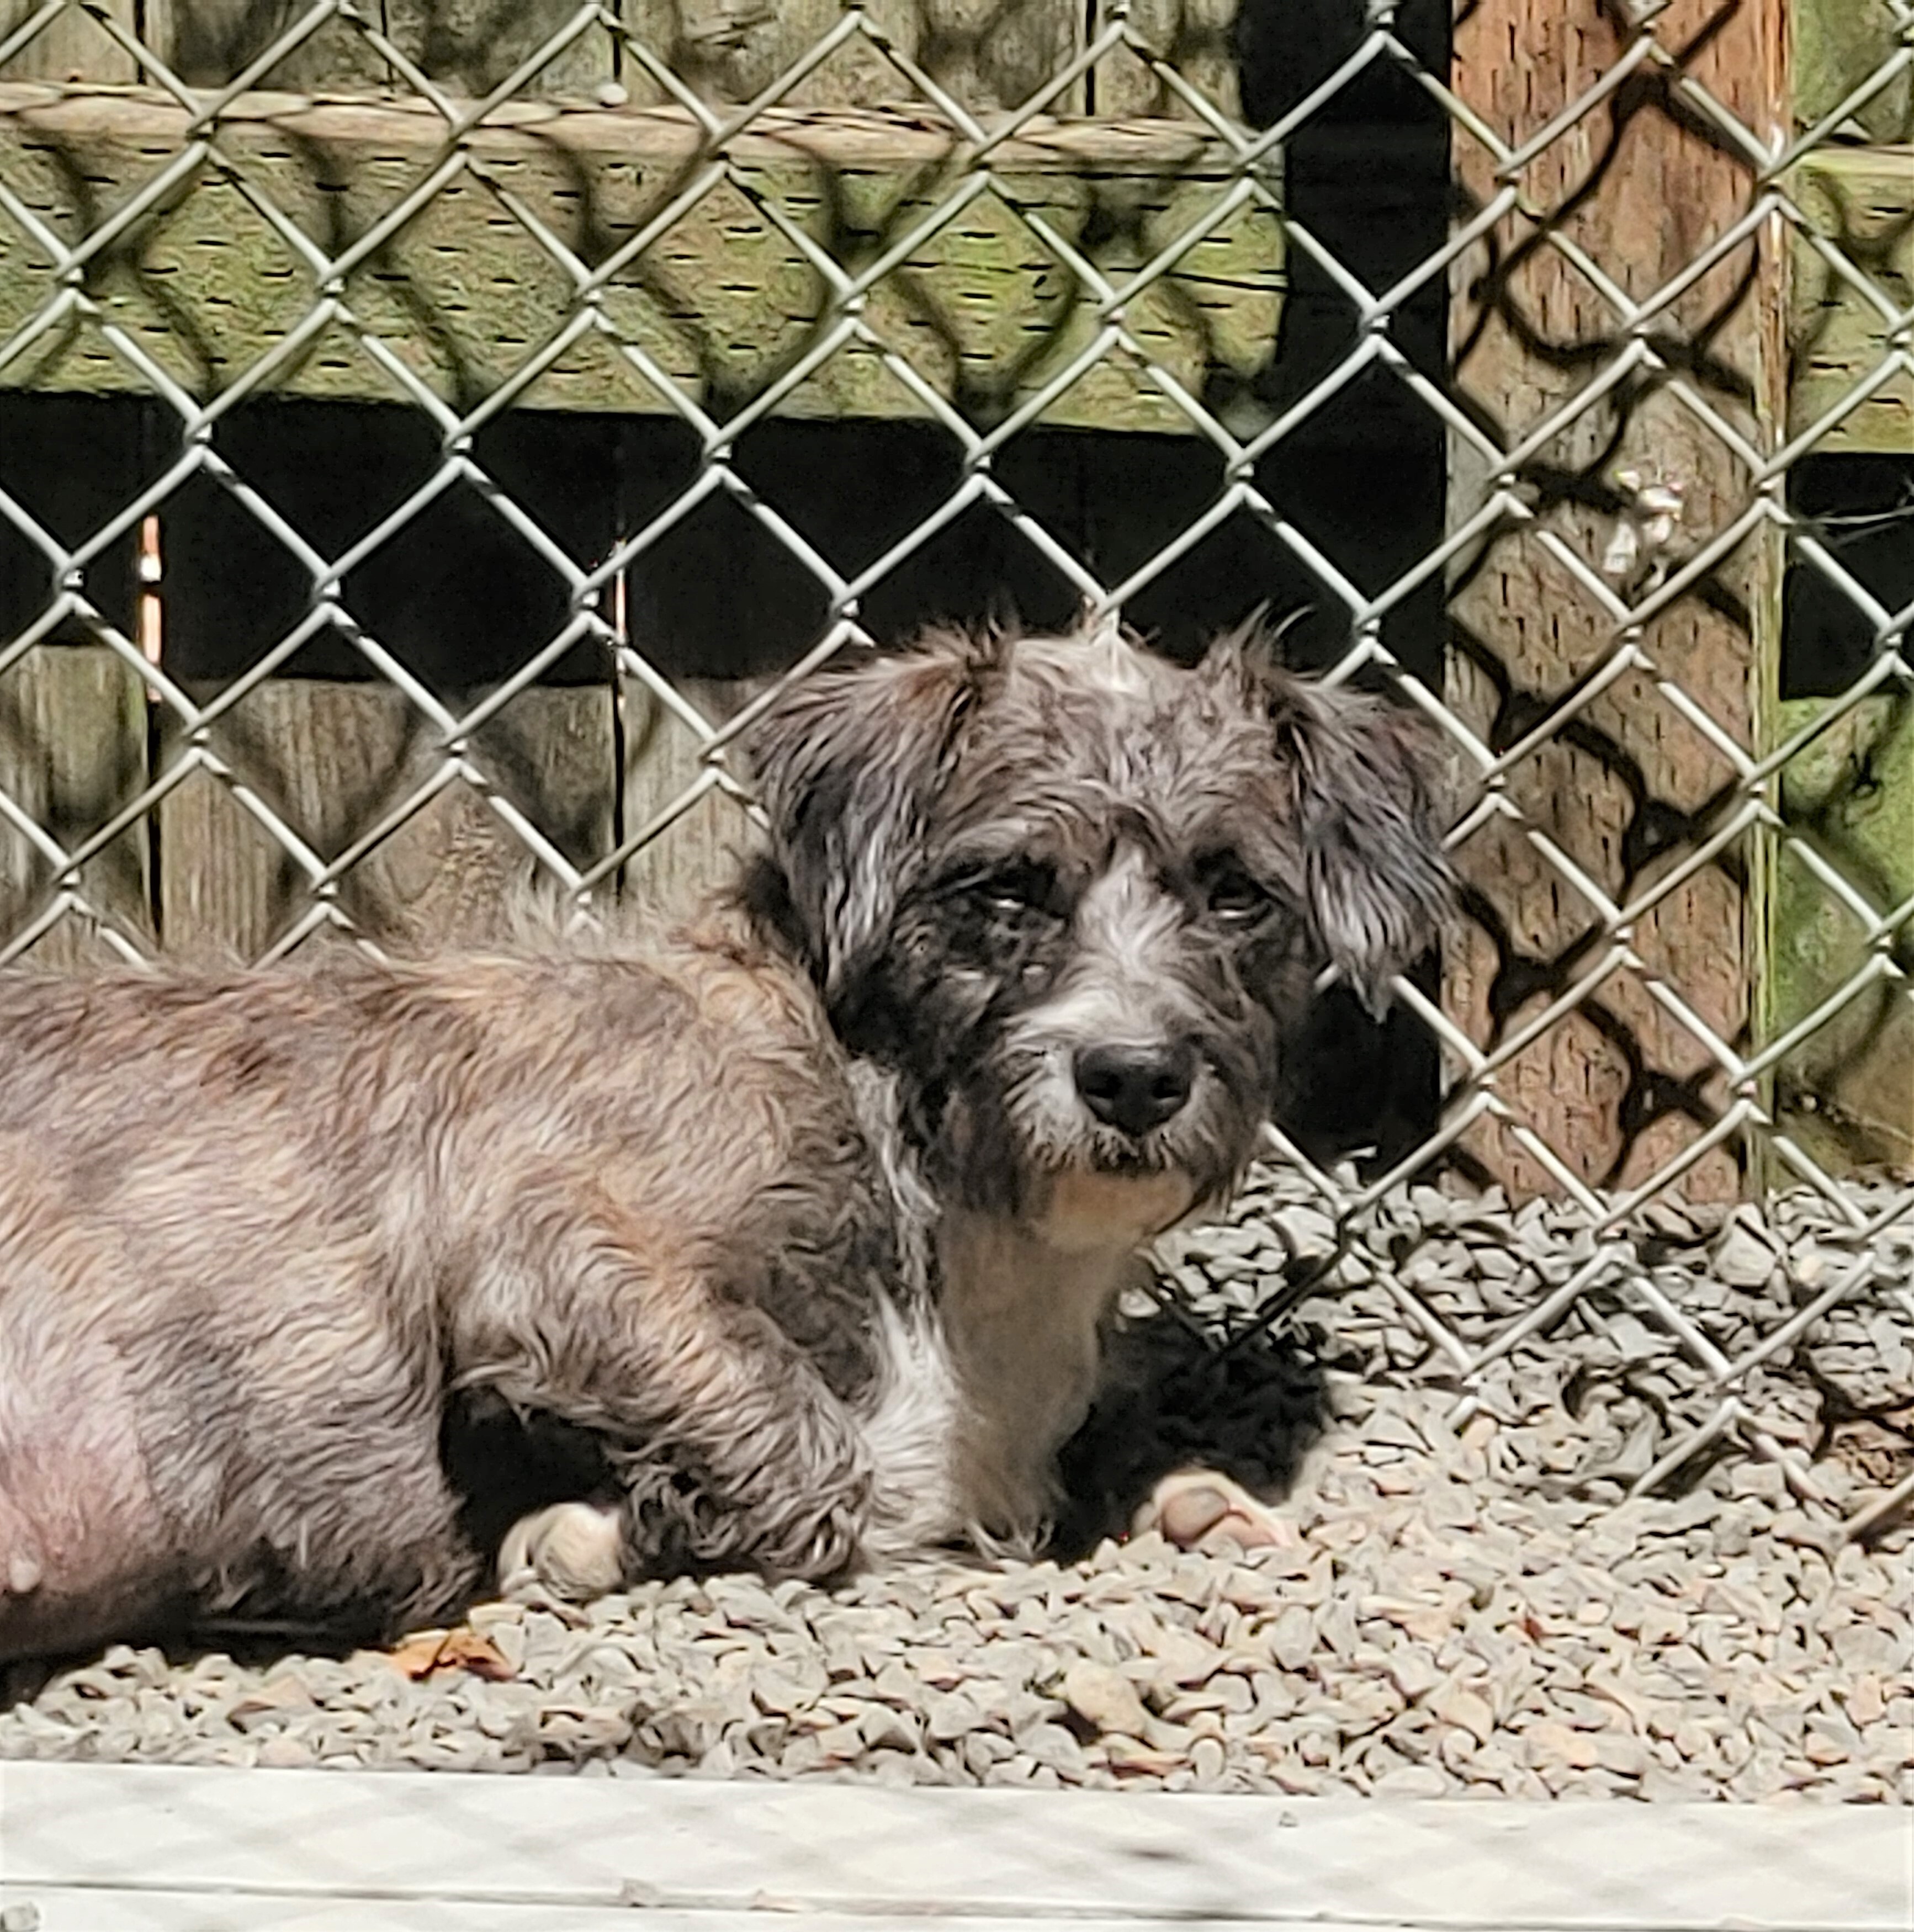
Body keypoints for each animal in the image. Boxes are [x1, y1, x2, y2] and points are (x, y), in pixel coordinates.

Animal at [0, 614, 1444, 1662]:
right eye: (1005, 887)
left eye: (1235, 893)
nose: (1132, 1076)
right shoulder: (548, 1245)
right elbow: (813, 1462)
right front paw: (593, 1533)